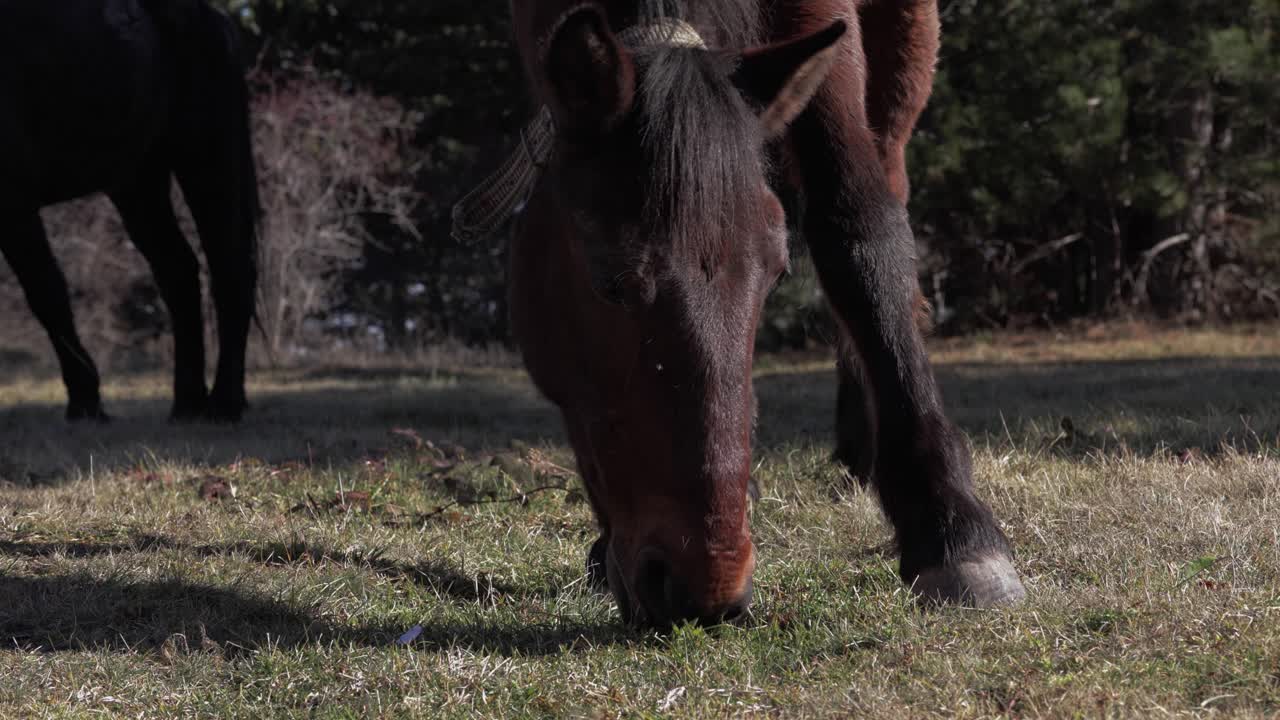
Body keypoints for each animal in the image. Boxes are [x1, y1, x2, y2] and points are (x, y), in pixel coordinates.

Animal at [0, 0, 259, 423]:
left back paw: (224, 404)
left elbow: (46, 293)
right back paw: (187, 403)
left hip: (206, 161)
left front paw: (86, 402)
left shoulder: (13, 203)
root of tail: (211, 18)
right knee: (178, 272)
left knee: (229, 269)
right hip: (138, 183)